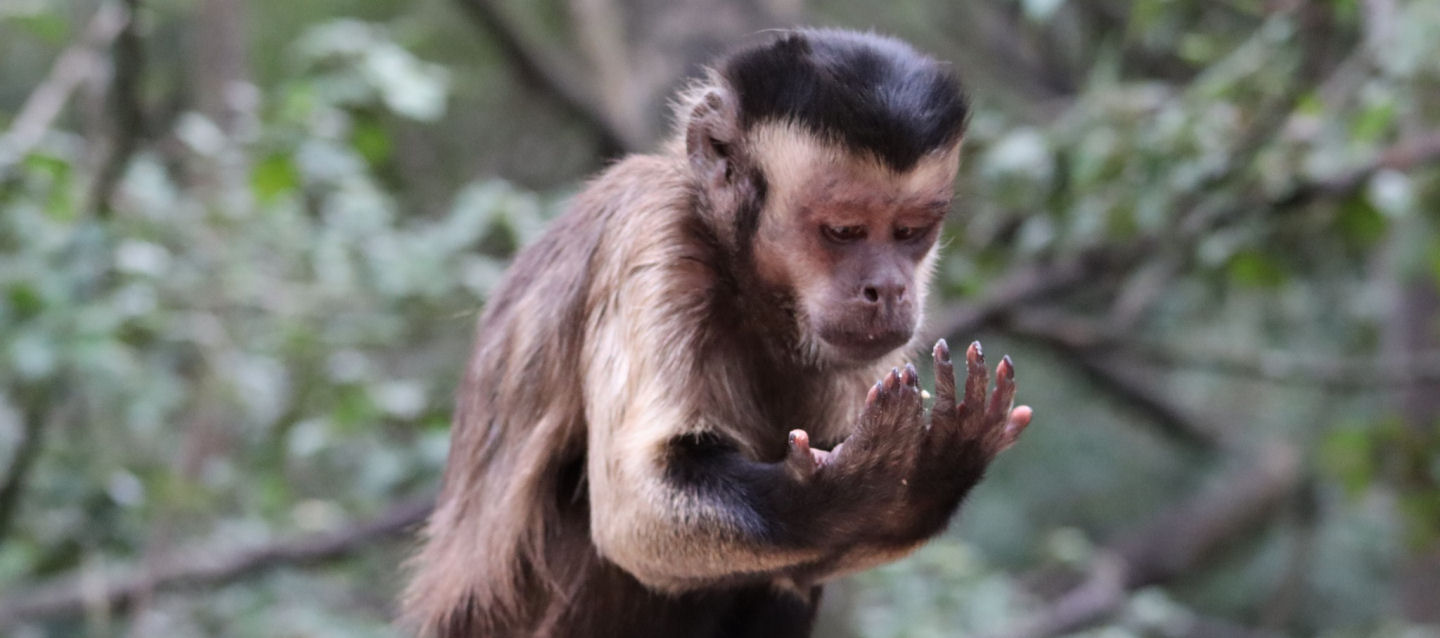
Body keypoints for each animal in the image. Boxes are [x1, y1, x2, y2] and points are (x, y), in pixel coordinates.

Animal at [403, 28, 1033, 638]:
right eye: (844, 231)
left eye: (910, 232)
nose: (889, 287)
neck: (744, 279)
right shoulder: (656, 238)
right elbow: (631, 511)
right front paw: (848, 491)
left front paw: (928, 480)